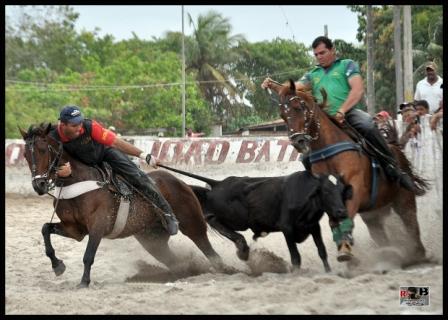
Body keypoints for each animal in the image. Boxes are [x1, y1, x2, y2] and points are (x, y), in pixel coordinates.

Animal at [19, 122, 226, 288]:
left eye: (43, 150)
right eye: (26, 155)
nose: (39, 185)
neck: (78, 181)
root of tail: (183, 183)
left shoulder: (98, 226)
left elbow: (88, 255)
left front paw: (84, 282)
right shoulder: (74, 229)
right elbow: (45, 229)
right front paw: (58, 265)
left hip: (193, 225)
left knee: (210, 252)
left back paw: (224, 269)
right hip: (152, 239)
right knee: (174, 261)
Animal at [159, 165, 352, 272]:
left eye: (342, 190)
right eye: (326, 191)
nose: (341, 212)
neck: (304, 194)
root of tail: (219, 183)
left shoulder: (313, 227)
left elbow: (322, 251)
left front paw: (328, 272)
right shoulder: (287, 228)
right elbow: (296, 257)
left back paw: (243, 249)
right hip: (237, 218)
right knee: (213, 219)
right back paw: (242, 249)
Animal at [268, 79, 428, 264]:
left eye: (298, 107)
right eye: (282, 114)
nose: (298, 141)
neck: (327, 151)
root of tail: (396, 148)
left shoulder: (354, 187)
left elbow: (345, 217)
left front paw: (345, 248)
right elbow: (334, 222)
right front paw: (344, 248)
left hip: (404, 199)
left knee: (411, 224)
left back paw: (417, 254)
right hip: (373, 214)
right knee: (380, 234)